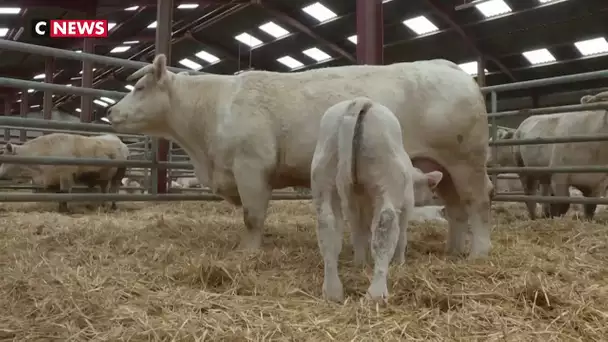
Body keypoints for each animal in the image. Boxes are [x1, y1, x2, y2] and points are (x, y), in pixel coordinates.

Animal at [104, 53, 494, 258]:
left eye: (140, 87)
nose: (111, 112)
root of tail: (452, 67)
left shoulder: (251, 167)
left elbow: (252, 216)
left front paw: (248, 254)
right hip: (439, 166)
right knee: (456, 209)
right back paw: (453, 251)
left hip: (466, 160)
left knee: (478, 202)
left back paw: (478, 252)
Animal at [312, 97, 444, 302]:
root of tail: (360, 101)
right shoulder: (406, 204)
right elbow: (401, 235)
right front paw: (399, 262)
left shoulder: (356, 207)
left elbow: (360, 233)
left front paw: (360, 263)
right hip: (387, 183)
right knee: (385, 227)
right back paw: (376, 293)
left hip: (324, 178)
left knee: (327, 227)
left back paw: (333, 291)